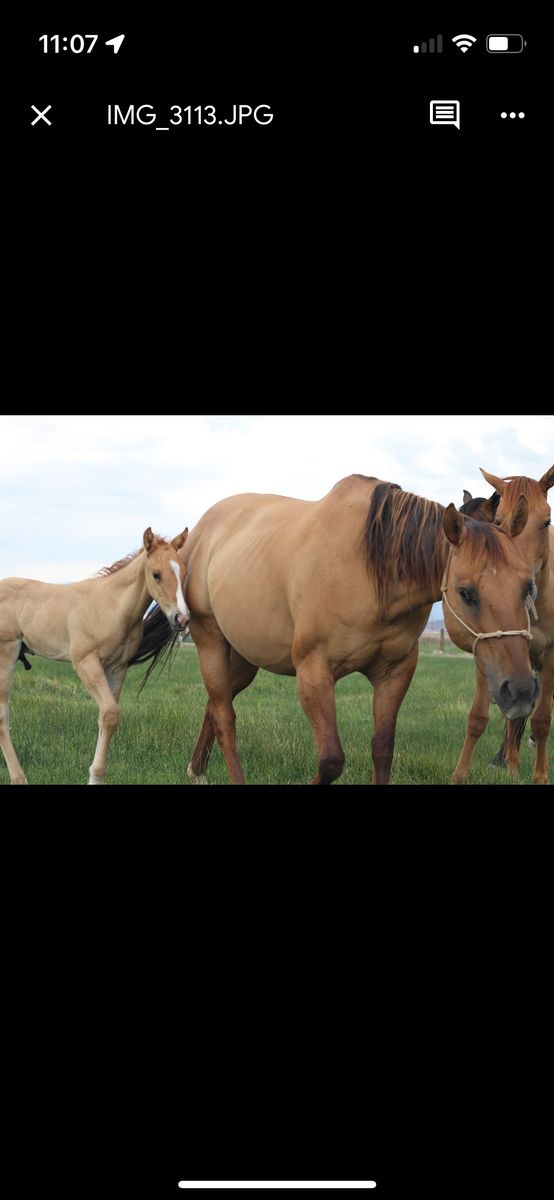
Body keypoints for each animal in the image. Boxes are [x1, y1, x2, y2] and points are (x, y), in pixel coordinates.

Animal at [0, 528, 188, 785]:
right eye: (156, 574)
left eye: (184, 572)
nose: (182, 619)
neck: (113, 606)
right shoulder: (85, 662)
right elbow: (110, 713)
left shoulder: (117, 667)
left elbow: (106, 717)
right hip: (6, 654)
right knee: (2, 715)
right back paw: (19, 778)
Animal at [138, 475, 539, 784]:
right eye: (466, 592)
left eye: (528, 587)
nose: (520, 690)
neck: (369, 567)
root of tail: (198, 535)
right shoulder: (314, 672)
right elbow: (331, 759)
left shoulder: (395, 672)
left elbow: (382, 749)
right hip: (211, 643)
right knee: (225, 717)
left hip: (243, 658)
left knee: (216, 704)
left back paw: (197, 769)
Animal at [452, 466, 553, 784]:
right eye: (498, 522)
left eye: (546, 521)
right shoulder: (490, 652)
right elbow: (480, 716)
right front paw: (503, 764)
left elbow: (541, 719)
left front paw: (540, 776)